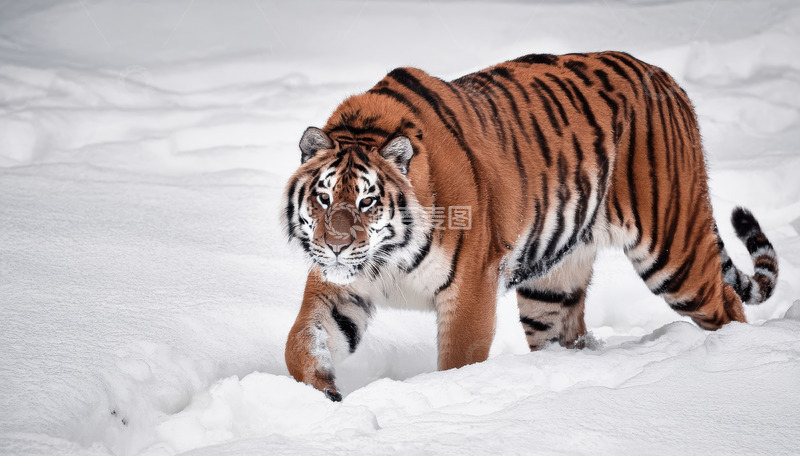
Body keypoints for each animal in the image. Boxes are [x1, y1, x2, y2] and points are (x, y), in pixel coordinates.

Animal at [281, 51, 779, 401]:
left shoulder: (470, 287)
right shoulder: (339, 288)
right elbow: (301, 341)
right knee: (570, 332)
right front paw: (322, 393)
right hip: (550, 287)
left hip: (674, 253)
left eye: (367, 202)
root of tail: (666, 79)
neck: (387, 258)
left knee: (728, 304)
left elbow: (458, 360)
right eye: (324, 198)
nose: (337, 246)